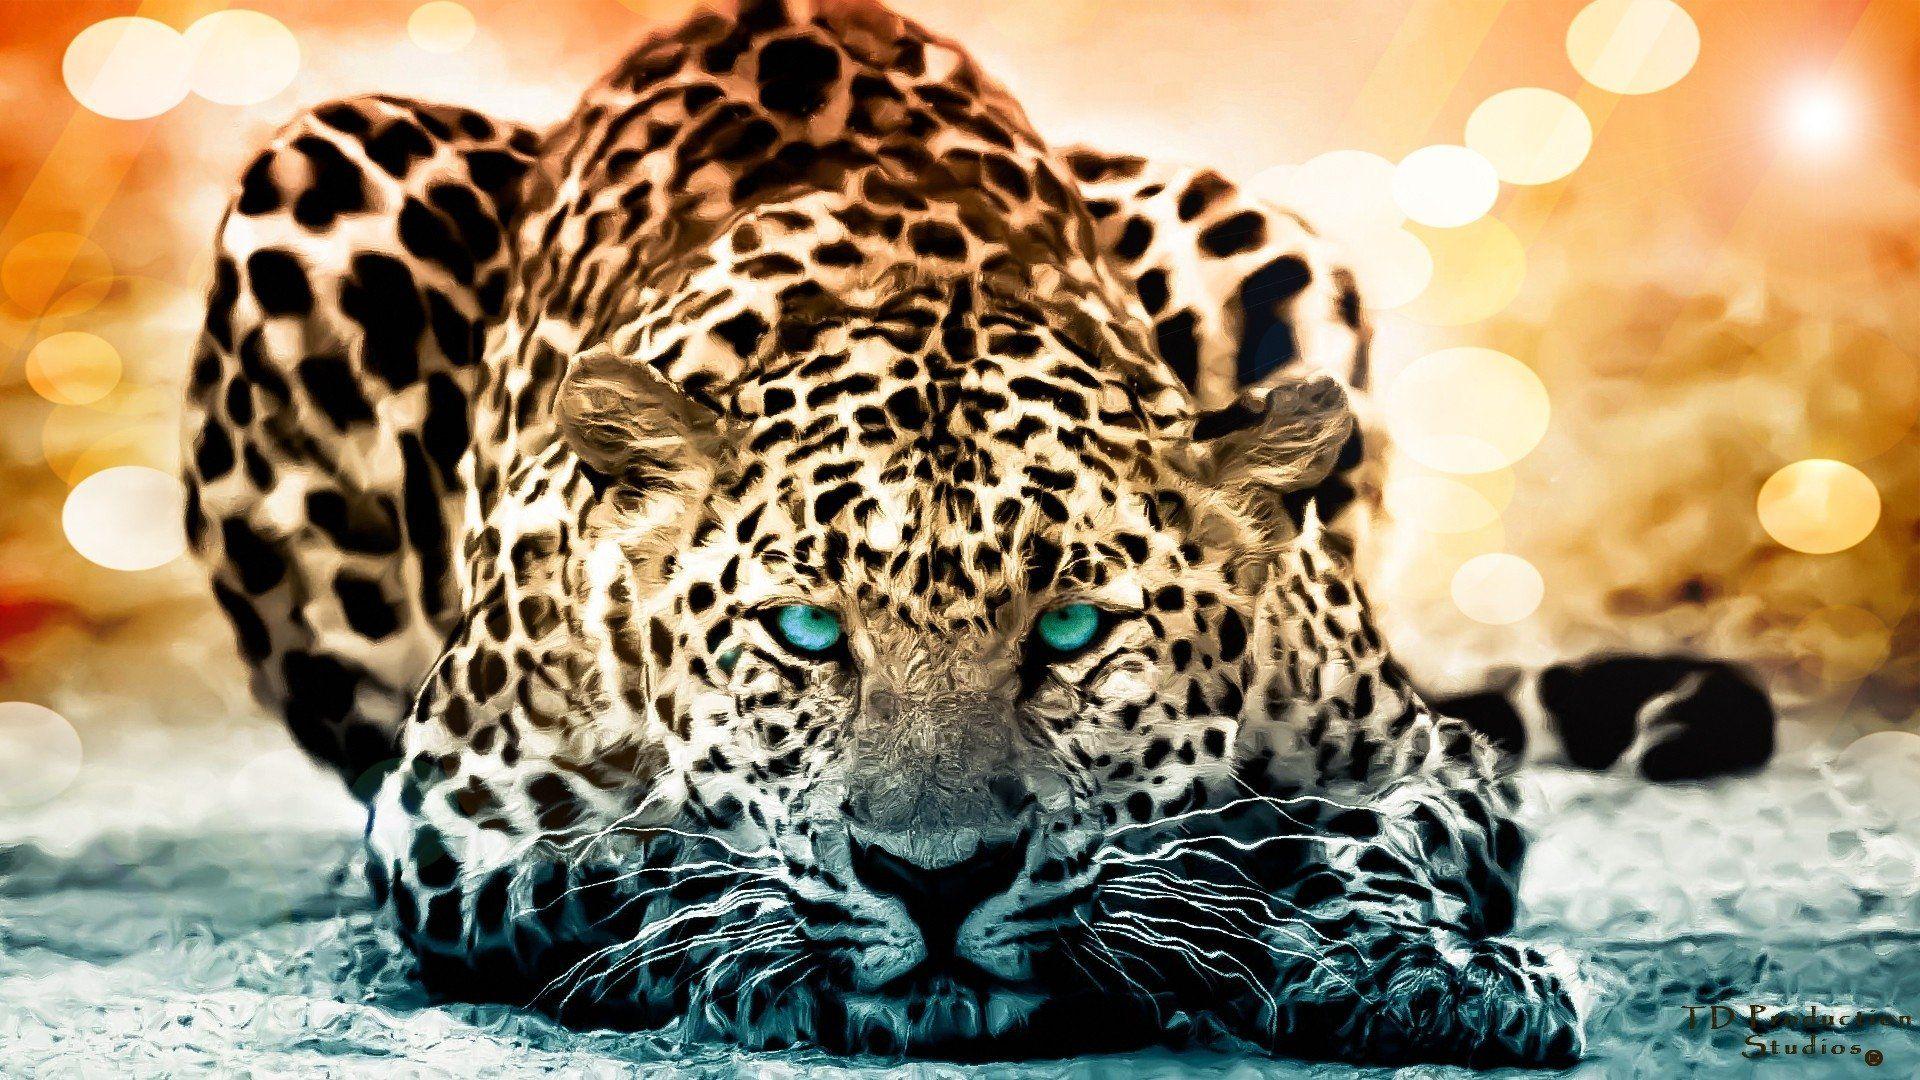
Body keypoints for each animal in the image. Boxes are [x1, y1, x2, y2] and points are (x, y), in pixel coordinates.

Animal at [181, 0, 1774, 1064]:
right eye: (805, 632)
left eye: (1069, 630)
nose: (938, 882)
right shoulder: (453, 816)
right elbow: (626, 867)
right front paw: (748, 943)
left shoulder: (1419, 754)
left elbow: (1344, 831)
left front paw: (1418, 967)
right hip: (321, 176)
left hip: (1259, 233)